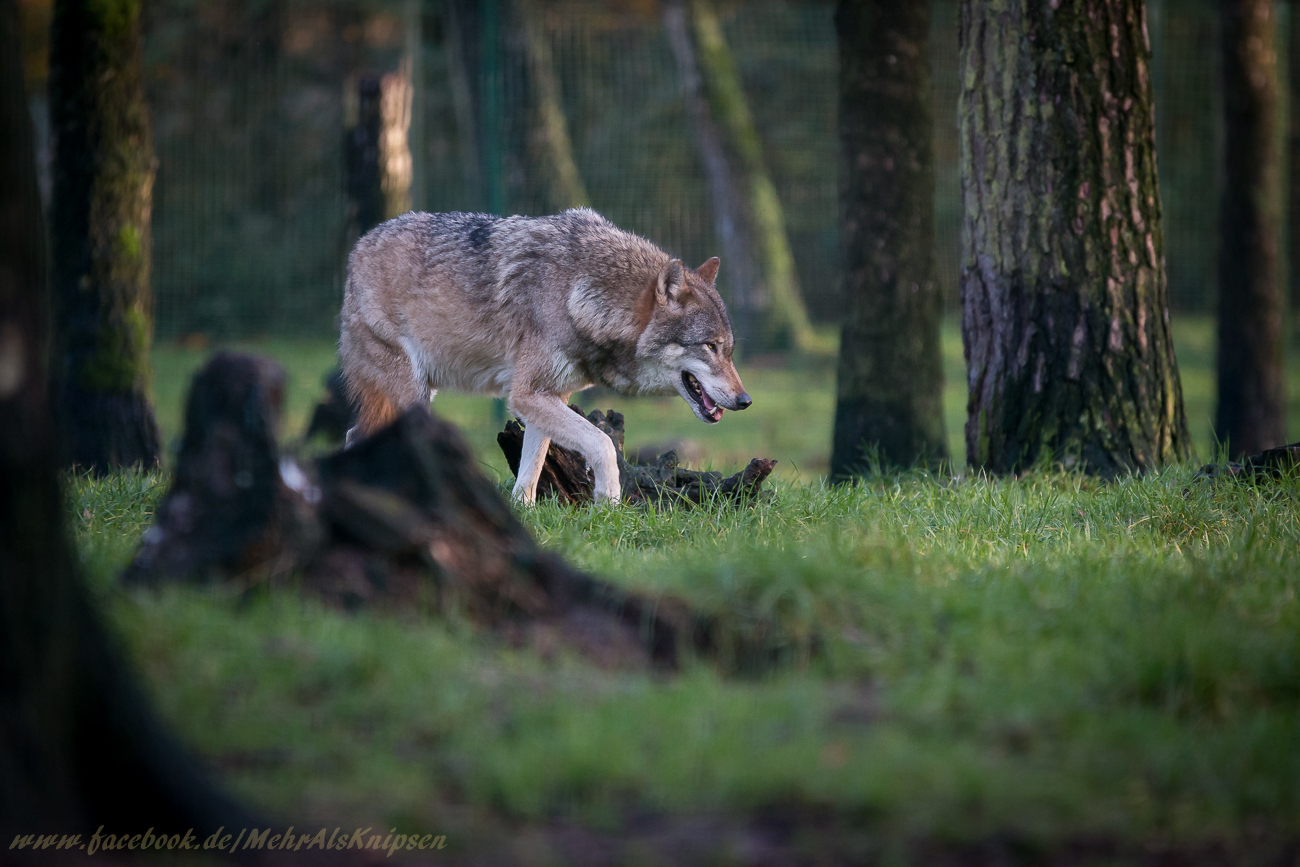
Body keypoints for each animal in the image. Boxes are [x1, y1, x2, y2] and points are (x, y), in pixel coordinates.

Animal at [338, 207, 754, 504]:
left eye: (729, 350)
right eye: (710, 346)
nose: (745, 400)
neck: (581, 294)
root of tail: (359, 245)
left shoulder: (547, 395)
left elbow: (532, 468)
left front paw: (523, 512)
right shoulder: (526, 394)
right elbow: (602, 445)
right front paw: (609, 502)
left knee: (353, 434)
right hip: (414, 396)